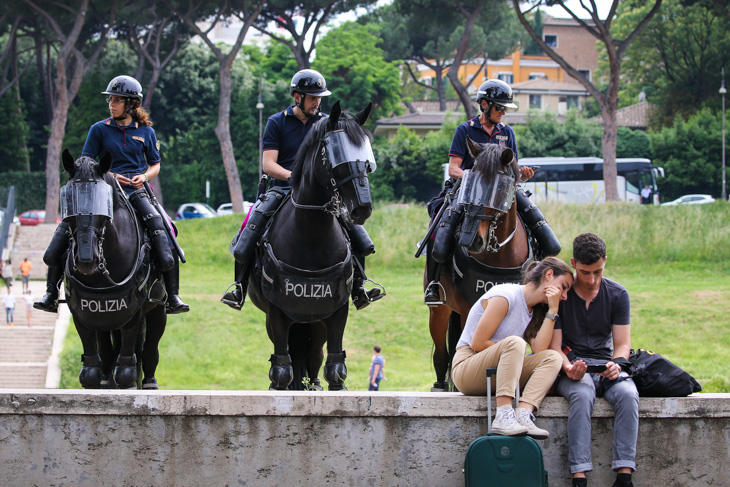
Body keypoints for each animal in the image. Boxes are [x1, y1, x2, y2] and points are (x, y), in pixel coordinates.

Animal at [60, 149, 168, 388]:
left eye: (104, 203)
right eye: (69, 202)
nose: (86, 260)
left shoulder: (134, 309)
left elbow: (126, 369)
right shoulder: (82, 311)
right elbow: (91, 370)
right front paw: (100, 381)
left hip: (158, 309)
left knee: (150, 348)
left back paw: (149, 382)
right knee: (109, 353)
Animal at [249, 102, 376, 392]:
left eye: (367, 160)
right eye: (336, 156)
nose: (361, 208)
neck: (311, 237)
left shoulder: (337, 309)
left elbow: (336, 370)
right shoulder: (277, 311)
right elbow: (281, 371)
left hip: (315, 324)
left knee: (315, 356)